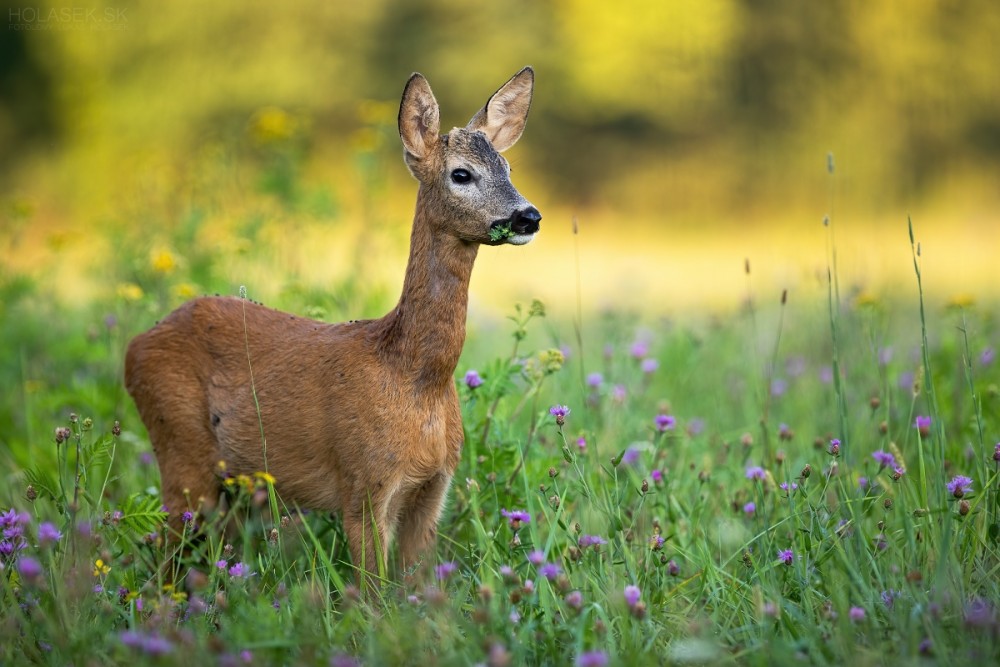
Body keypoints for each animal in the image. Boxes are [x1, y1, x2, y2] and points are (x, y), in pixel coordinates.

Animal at [129, 68, 544, 588]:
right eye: (461, 173)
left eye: (507, 168)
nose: (528, 216)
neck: (413, 377)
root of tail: (134, 346)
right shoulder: (363, 482)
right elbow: (373, 594)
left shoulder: (435, 487)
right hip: (180, 451)